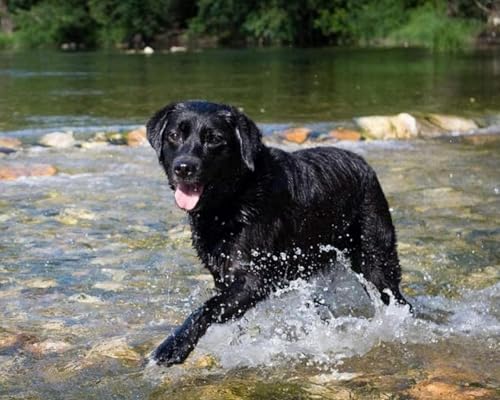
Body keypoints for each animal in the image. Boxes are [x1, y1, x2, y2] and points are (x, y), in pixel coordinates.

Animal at [146, 100, 410, 366]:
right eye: (174, 135)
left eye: (214, 139)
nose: (184, 167)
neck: (234, 198)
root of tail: (364, 164)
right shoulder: (224, 276)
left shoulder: (254, 278)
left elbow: (207, 309)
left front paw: (173, 347)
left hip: (375, 259)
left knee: (397, 298)